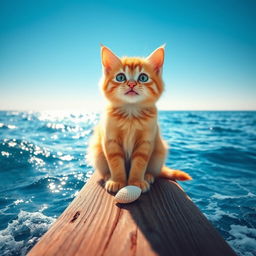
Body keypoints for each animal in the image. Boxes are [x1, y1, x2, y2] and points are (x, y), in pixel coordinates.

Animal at [87, 45, 191, 192]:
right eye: (120, 77)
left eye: (143, 77)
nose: (131, 84)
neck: (131, 113)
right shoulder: (110, 140)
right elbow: (116, 163)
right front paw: (117, 181)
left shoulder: (146, 142)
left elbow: (139, 164)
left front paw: (136, 182)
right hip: (97, 153)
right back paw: (108, 176)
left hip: (159, 153)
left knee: (154, 171)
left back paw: (148, 176)